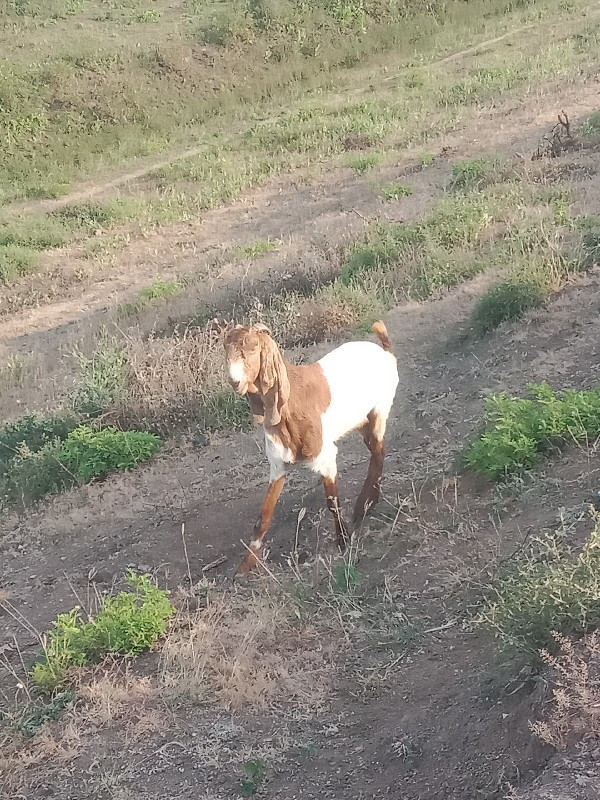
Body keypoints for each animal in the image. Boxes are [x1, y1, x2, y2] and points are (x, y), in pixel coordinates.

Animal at [224, 322, 398, 572]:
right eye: (225, 349)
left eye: (254, 347)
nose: (234, 381)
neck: (292, 401)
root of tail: (385, 352)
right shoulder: (278, 466)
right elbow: (263, 517)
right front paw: (246, 565)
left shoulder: (325, 457)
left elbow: (332, 503)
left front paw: (343, 541)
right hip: (362, 421)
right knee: (376, 451)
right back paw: (368, 502)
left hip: (379, 411)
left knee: (378, 450)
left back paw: (362, 506)